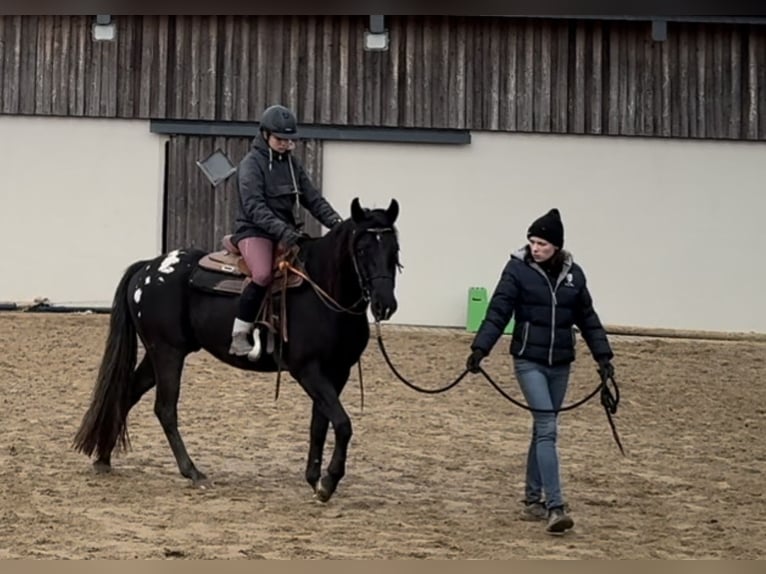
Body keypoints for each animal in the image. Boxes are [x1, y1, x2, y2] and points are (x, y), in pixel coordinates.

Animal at [73, 199, 402, 504]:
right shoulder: (308, 370)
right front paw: (329, 481)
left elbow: (320, 423)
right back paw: (192, 471)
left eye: (394, 250)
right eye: (362, 250)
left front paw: (314, 479)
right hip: (167, 352)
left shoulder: (337, 372)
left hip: (157, 354)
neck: (323, 291)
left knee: (128, 393)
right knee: (165, 409)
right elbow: (343, 424)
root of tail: (147, 267)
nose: (385, 304)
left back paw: (103, 458)